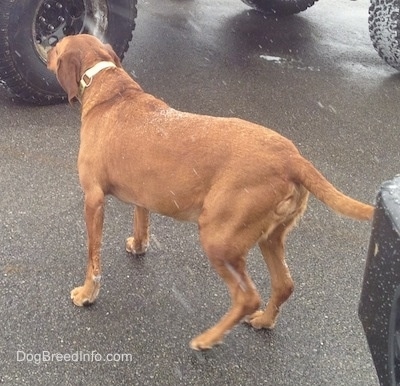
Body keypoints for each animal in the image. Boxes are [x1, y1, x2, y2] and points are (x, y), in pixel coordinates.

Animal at [47, 34, 376, 352]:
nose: (47, 48)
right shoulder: (144, 193)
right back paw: (264, 321)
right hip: (270, 237)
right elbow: (142, 221)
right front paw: (138, 246)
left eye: (58, 46)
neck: (108, 85)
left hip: (218, 239)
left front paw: (87, 294)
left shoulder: (93, 199)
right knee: (284, 285)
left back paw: (208, 339)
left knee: (247, 297)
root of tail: (293, 159)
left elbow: (93, 257)